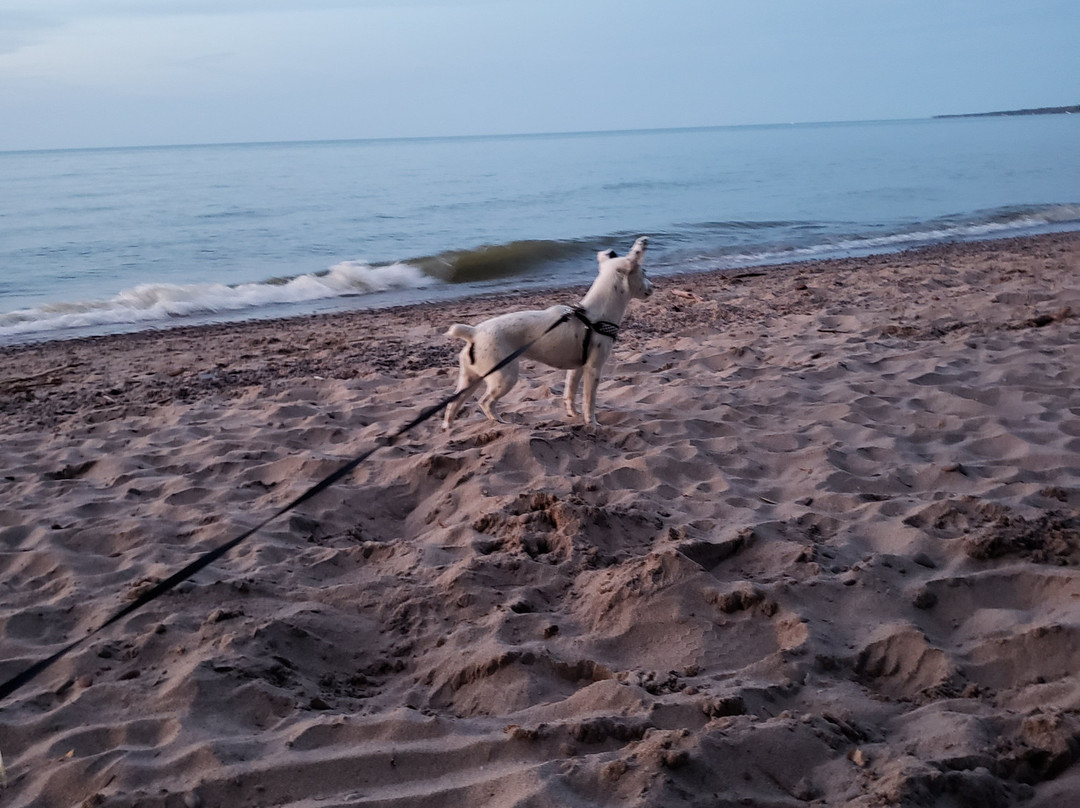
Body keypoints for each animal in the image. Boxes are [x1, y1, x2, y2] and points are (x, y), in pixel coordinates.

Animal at [442, 235, 652, 429]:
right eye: (644, 272)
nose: (654, 287)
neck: (594, 315)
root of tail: (473, 332)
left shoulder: (576, 369)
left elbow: (569, 393)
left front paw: (573, 415)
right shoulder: (593, 368)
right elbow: (589, 401)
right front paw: (592, 423)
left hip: (471, 378)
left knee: (452, 404)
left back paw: (449, 430)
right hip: (504, 377)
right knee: (484, 402)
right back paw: (499, 421)